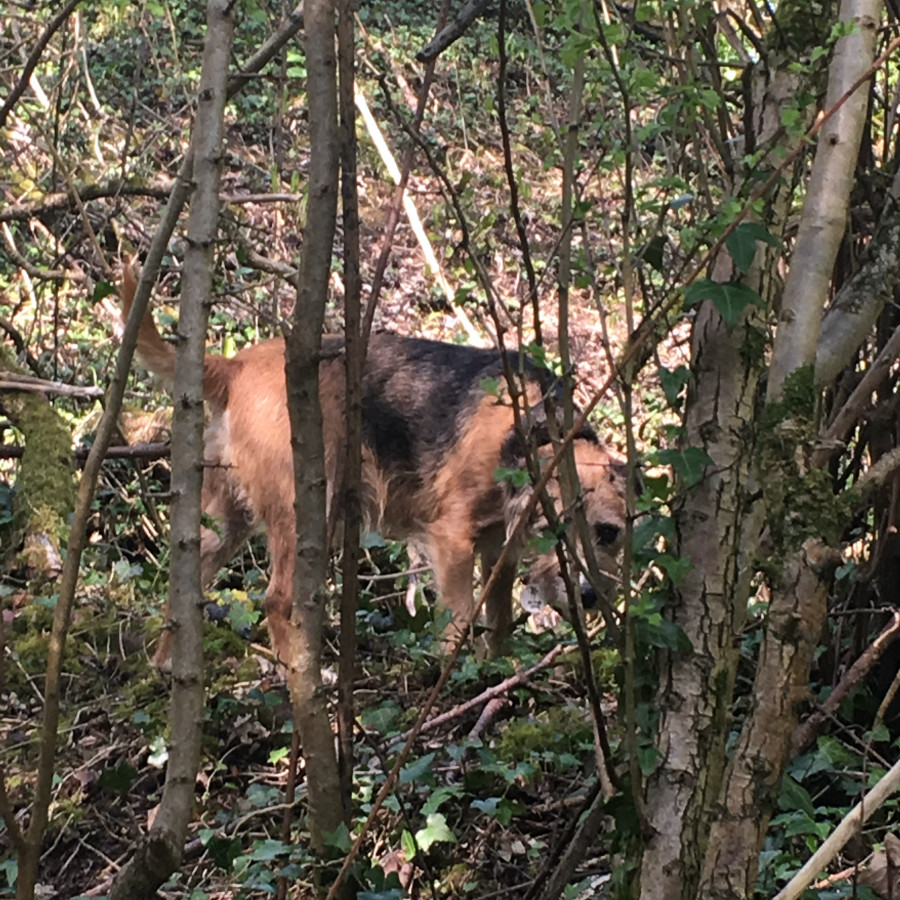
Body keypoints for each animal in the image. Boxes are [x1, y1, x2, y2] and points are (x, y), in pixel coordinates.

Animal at [118, 268, 624, 668]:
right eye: (553, 527)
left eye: (608, 533)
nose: (589, 595)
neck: (530, 426)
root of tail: (236, 365)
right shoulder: (453, 538)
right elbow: (460, 616)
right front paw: (452, 673)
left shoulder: (499, 548)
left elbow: (497, 620)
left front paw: (493, 669)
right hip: (305, 507)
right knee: (277, 599)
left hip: (226, 516)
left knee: (186, 583)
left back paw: (167, 665)